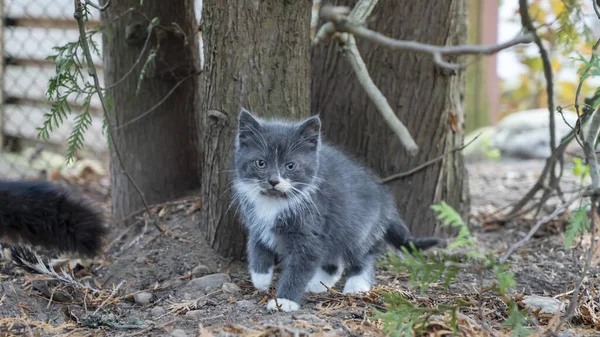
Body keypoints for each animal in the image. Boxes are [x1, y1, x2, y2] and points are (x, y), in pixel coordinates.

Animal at [231, 109, 440, 312]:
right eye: (260, 163)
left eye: (290, 166)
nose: (273, 181)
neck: (275, 201)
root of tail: (385, 197)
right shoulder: (256, 221)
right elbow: (256, 245)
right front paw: (261, 278)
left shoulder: (310, 232)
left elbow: (299, 268)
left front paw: (284, 300)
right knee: (335, 260)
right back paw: (319, 283)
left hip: (358, 227)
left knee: (364, 254)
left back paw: (357, 283)